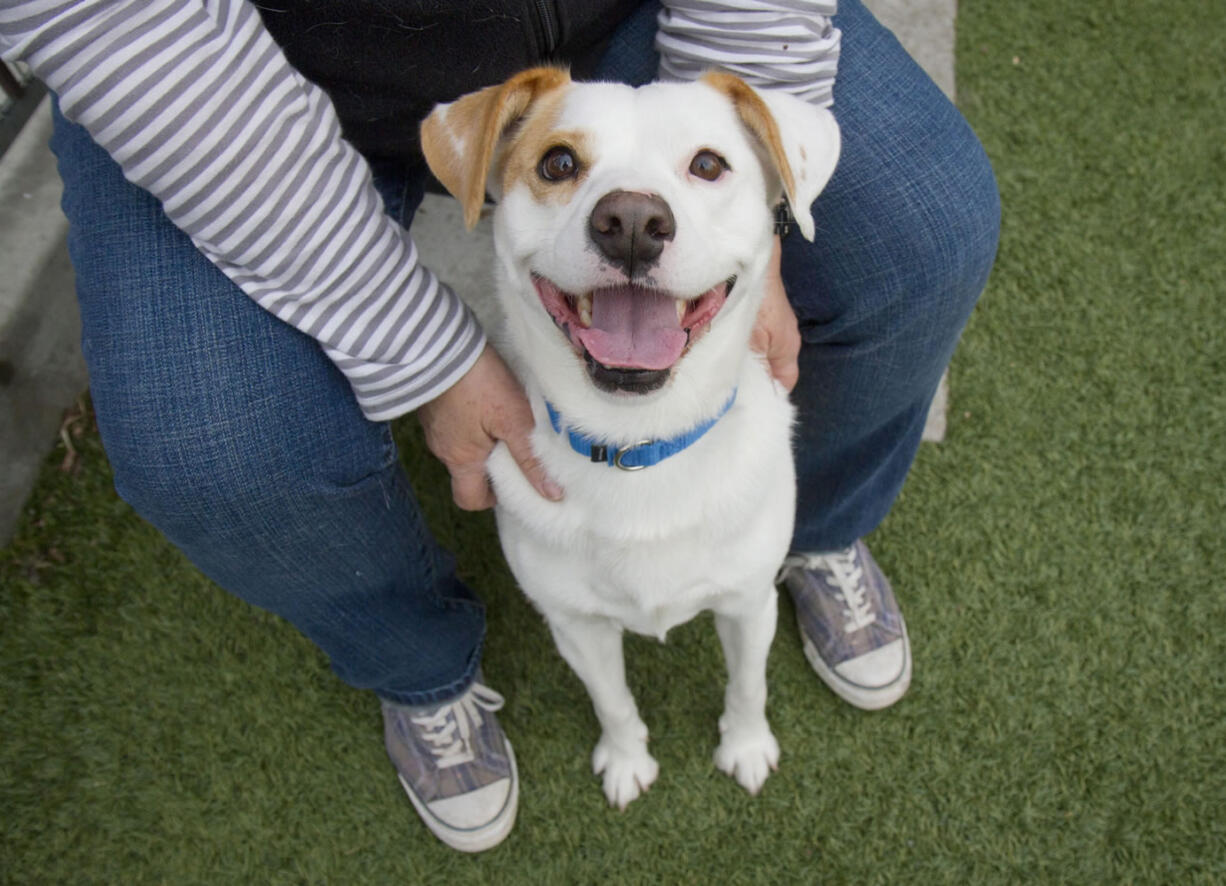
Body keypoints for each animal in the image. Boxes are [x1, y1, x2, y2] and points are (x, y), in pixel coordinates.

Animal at [424, 65, 843, 808]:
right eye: (558, 163)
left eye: (708, 164)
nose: (631, 223)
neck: (639, 448)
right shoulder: (575, 624)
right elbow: (613, 701)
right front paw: (626, 762)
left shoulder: (749, 600)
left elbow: (748, 685)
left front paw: (746, 748)